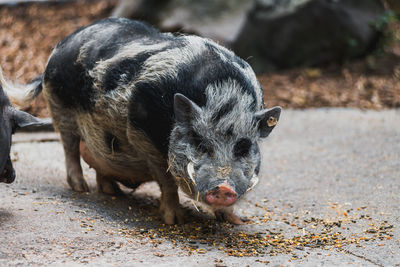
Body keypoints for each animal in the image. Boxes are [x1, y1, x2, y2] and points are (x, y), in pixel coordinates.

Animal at [6, 17, 282, 225]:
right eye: (199, 142)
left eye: (244, 147)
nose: (224, 188)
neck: (224, 96)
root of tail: (62, 44)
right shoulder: (140, 133)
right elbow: (167, 182)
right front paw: (175, 221)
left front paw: (239, 222)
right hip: (58, 105)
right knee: (69, 147)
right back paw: (80, 188)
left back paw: (111, 191)